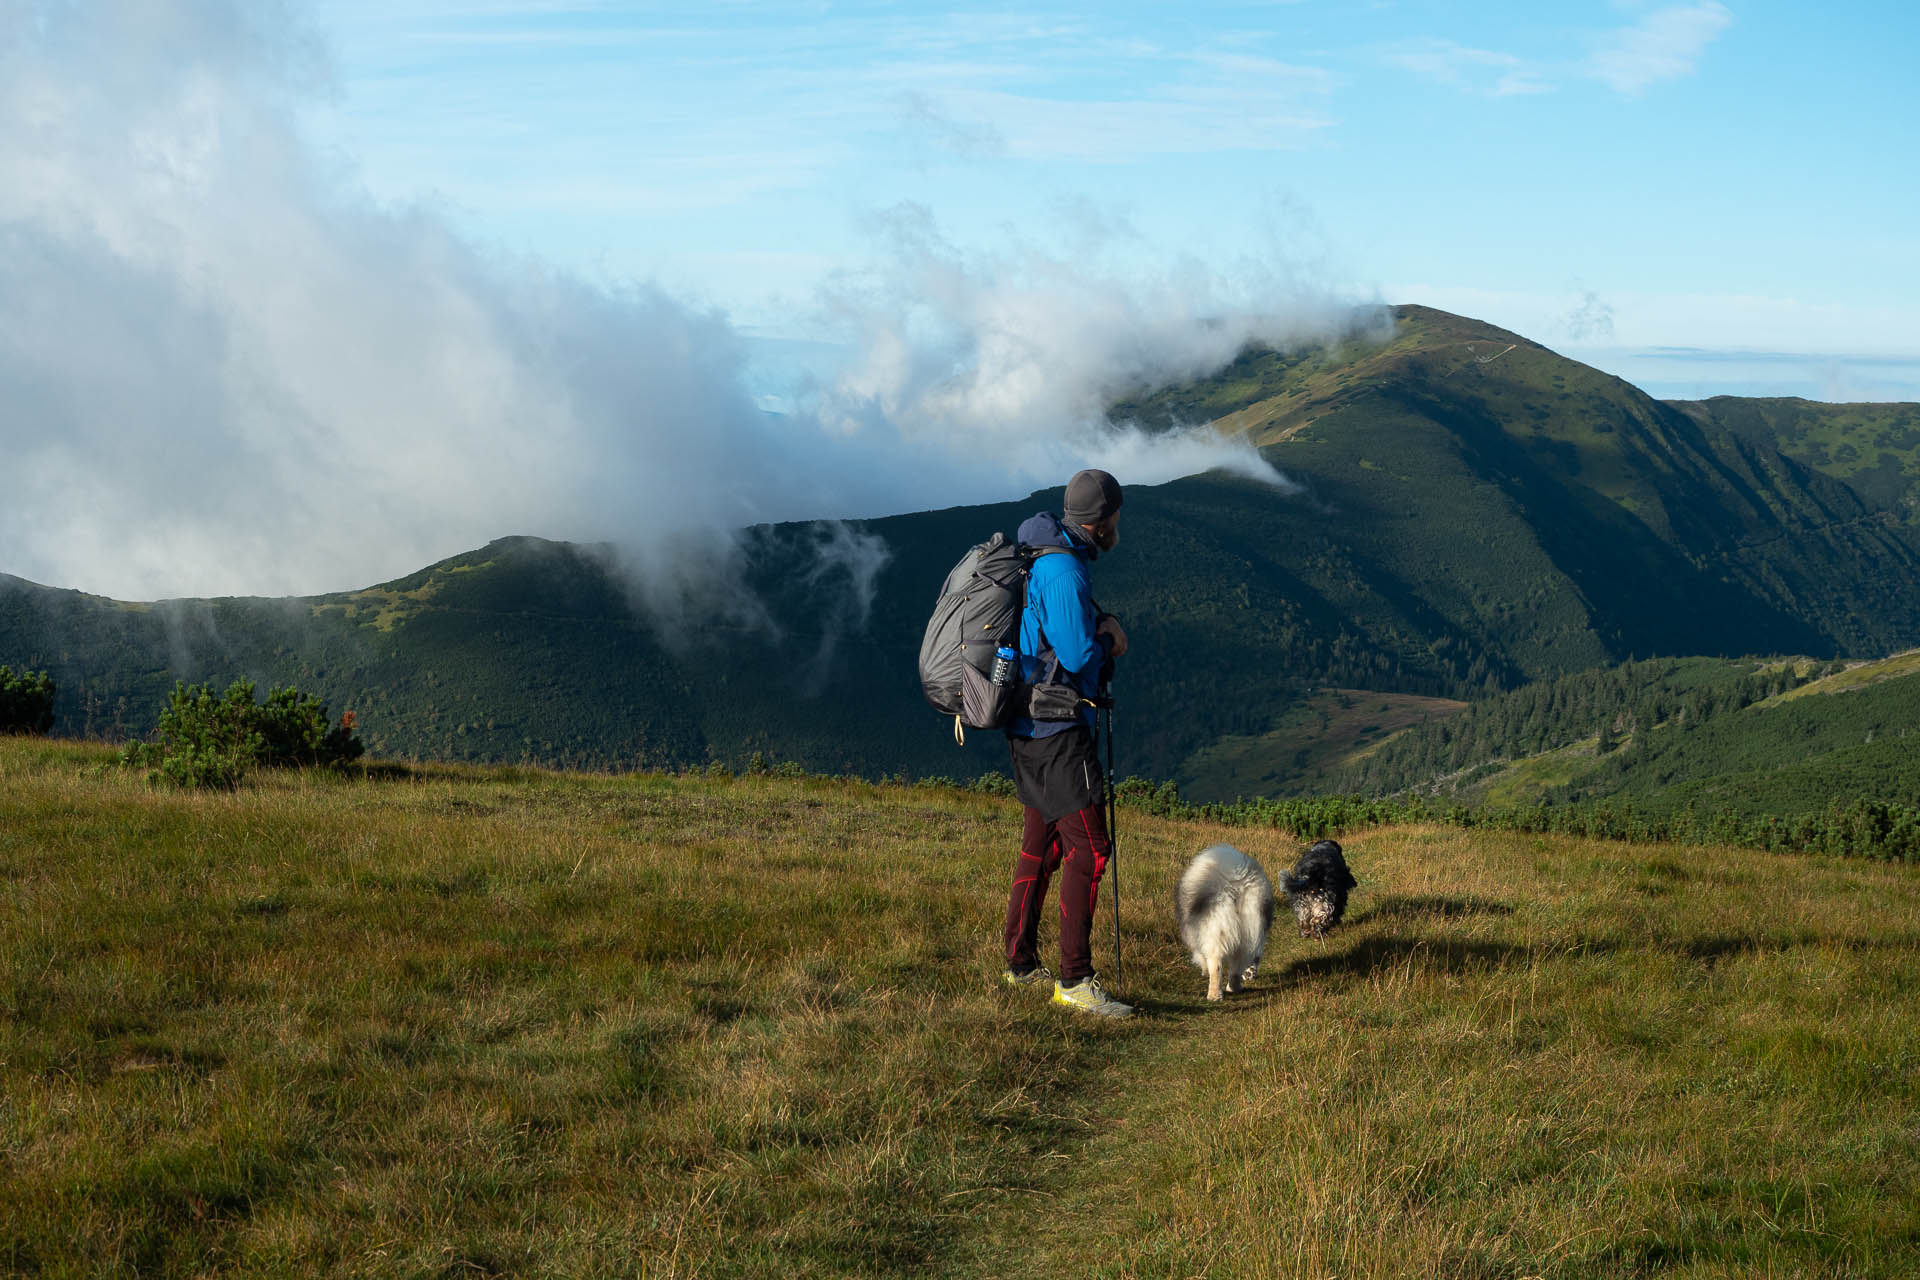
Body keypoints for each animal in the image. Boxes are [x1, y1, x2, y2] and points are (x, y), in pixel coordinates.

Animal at [1167, 844, 1274, 1005]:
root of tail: (1236, 882)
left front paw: (1204, 971)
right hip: (1250, 930)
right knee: (1238, 963)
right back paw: (1234, 987)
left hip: (1217, 928)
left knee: (1216, 965)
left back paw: (1214, 995)